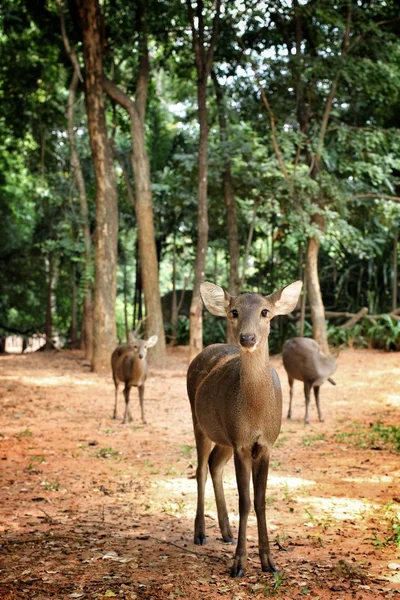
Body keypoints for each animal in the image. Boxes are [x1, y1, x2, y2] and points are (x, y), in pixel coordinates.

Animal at [186, 280, 302, 576]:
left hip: (223, 435)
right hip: (198, 420)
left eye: (265, 312)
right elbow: (245, 501)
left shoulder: (264, 444)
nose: (247, 338)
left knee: (214, 464)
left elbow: (260, 500)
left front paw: (268, 561)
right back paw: (200, 533)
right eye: (234, 311)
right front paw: (239, 564)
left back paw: (226, 532)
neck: (255, 412)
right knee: (200, 469)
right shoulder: (241, 443)